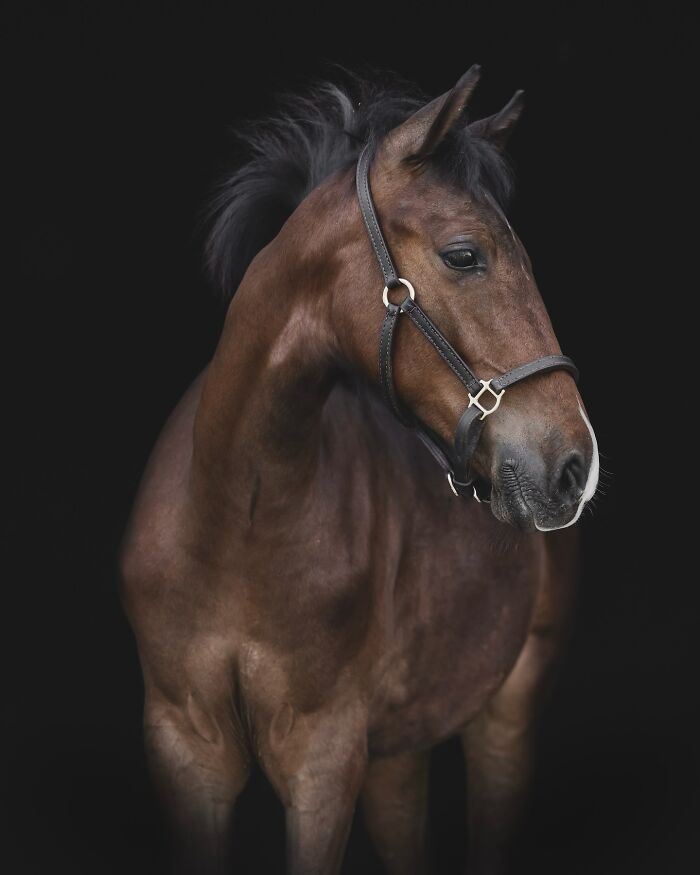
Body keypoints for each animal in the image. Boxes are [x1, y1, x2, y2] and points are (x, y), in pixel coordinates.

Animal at [120, 65, 599, 875]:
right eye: (464, 254)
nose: (574, 464)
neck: (234, 523)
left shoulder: (322, 759)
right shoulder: (186, 751)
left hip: (505, 715)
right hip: (395, 756)